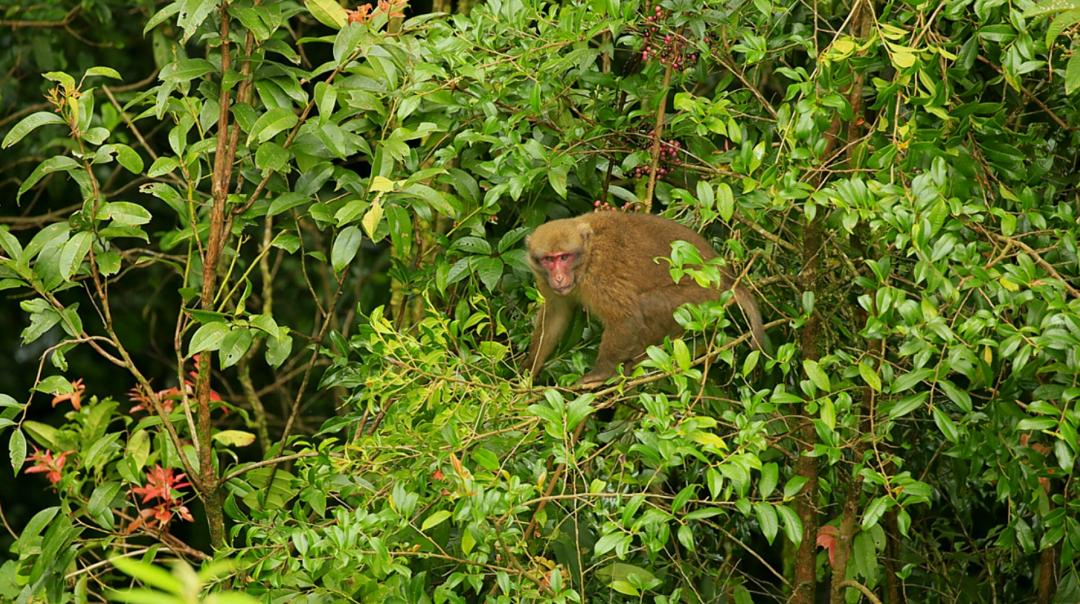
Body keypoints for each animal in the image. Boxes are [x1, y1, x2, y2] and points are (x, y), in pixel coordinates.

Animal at [524, 212, 764, 386]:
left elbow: (626, 318)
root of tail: (726, 278)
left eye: (564, 257)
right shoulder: (543, 279)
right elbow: (555, 316)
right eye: (548, 260)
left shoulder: (600, 275)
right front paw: (528, 371)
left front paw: (601, 373)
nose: (558, 277)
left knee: (648, 305)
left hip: (703, 299)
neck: (588, 256)